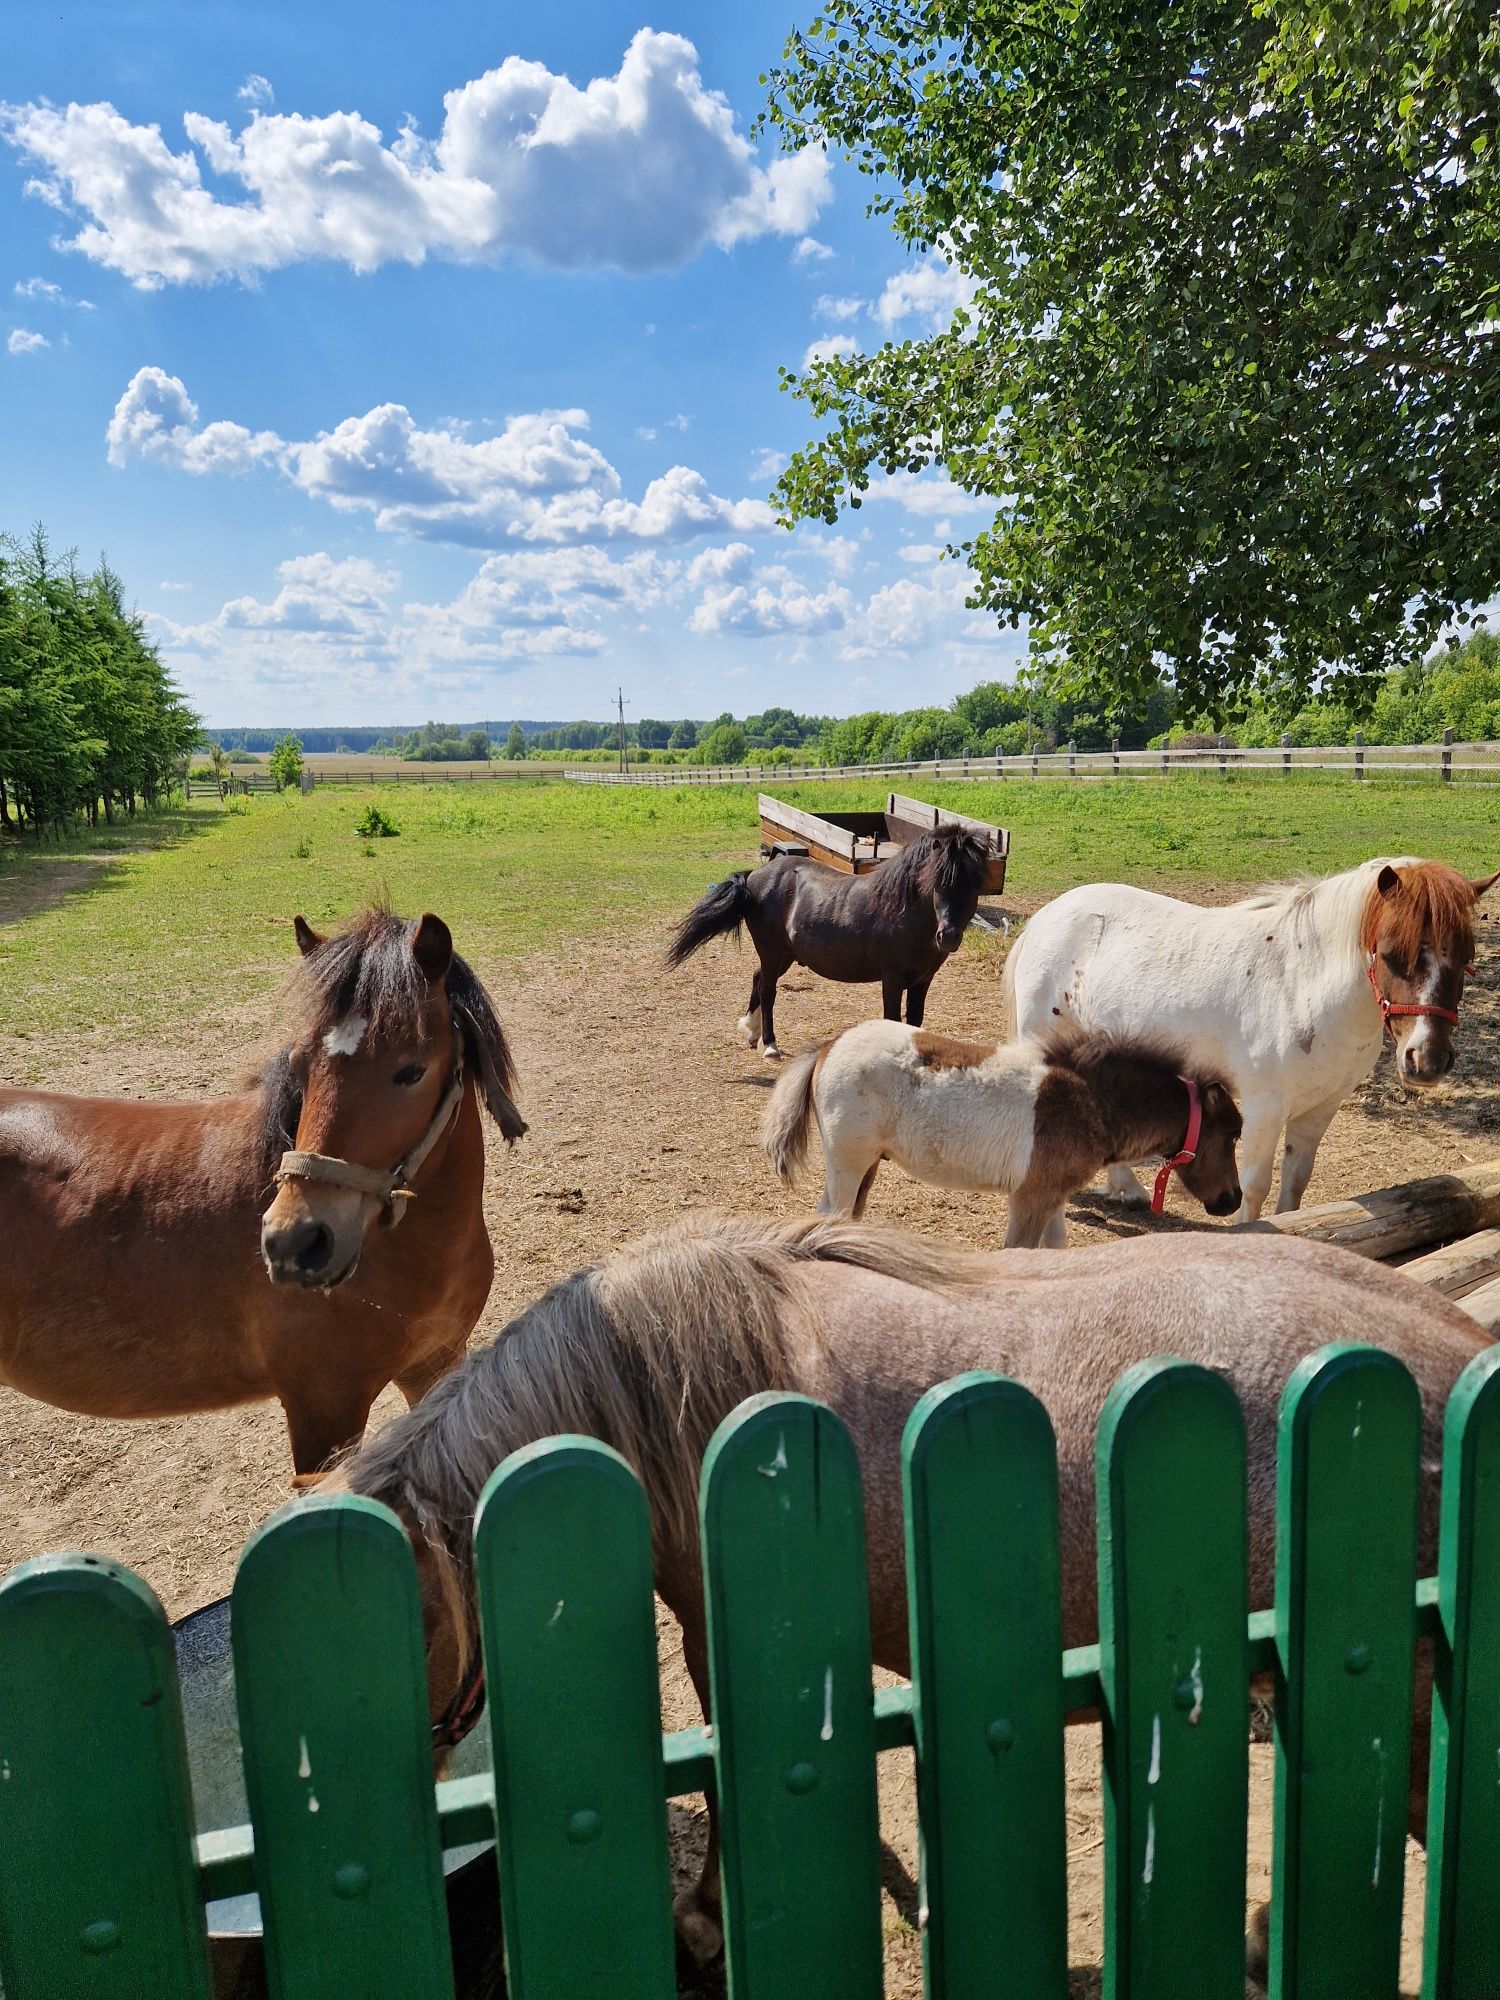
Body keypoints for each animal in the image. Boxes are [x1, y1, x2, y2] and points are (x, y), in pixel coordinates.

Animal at [668, 820, 1000, 1056]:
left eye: (975, 883)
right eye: (937, 880)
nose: (948, 937)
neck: (902, 909)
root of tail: (753, 877)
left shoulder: (922, 980)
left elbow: (914, 1021)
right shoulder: (892, 979)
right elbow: (893, 1019)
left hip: (784, 955)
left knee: (757, 978)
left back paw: (752, 1032)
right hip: (772, 952)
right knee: (768, 990)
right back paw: (770, 1045)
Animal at [764, 1024, 1248, 1240]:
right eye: (1233, 1134)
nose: (1232, 1200)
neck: (1090, 1099)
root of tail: (828, 1046)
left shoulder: (1052, 1197)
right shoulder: (1029, 1198)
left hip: (864, 1168)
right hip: (849, 1165)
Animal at [1004, 856, 1496, 1216]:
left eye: (1467, 958)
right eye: (1393, 955)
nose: (1427, 1061)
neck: (1303, 983)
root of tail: (1046, 917)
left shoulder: (1320, 1108)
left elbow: (1296, 1182)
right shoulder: (1265, 1106)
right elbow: (1255, 1183)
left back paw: (1129, 1190)